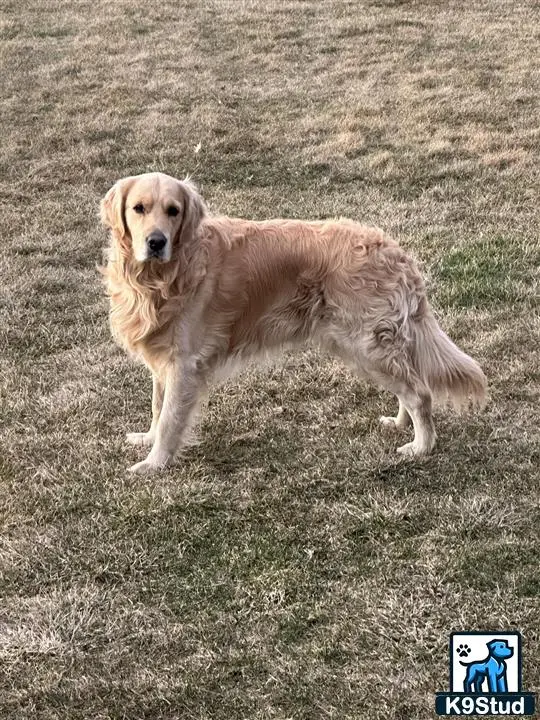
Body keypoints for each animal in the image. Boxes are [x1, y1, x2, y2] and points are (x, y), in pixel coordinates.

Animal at [99, 172, 488, 476]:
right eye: (138, 208)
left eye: (173, 211)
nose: (156, 242)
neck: (162, 278)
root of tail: (395, 251)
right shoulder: (164, 357)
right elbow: (157, 406)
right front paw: (147, 439)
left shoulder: (185, 363)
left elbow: (170, 418)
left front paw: (154, 463)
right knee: (409, 386)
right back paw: (400, 424)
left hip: (366, 345)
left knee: (420, 393)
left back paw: (421, 446)